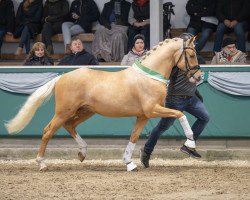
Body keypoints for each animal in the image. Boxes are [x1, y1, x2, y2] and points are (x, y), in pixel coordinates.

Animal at [5, 36, 201, 170]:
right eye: (191, 54)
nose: (198, 77)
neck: (150, 75)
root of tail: (61, 77)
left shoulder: (143, 116)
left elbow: (134, 137)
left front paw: (129, 164)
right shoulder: (153, 110)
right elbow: (181, 114)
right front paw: (190, 146)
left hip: (85, 111)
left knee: (70, 126)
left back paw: (82, 153)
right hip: (64, 111)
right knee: (48, 131)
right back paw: (42, 163)